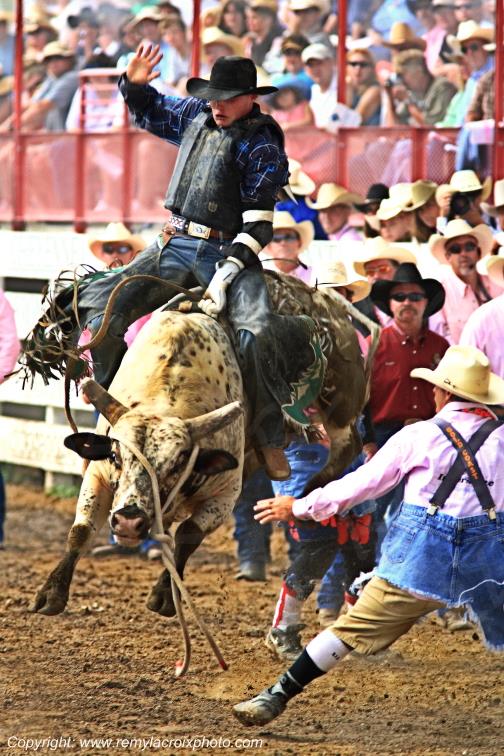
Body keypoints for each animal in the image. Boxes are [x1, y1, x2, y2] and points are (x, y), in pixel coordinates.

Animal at [30, 272, 371, 619]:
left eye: (178, 462)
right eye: (115, 456)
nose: (128, 520)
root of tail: (330, 304)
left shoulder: (225, 494)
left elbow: (188, 535)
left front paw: (164, 597)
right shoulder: (97, 475)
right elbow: (81, 530)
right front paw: (51, 593)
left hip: (340, 403)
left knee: (348, 444)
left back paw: (308, 492)